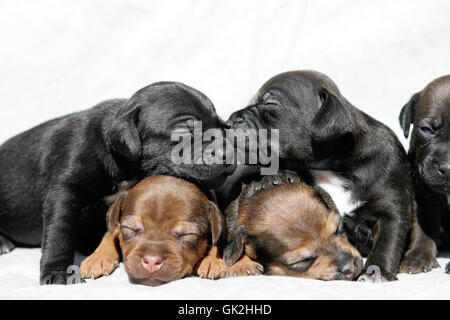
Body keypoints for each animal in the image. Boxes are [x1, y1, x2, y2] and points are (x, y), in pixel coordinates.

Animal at [80, 176, 225, 286]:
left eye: (187, 234)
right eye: (131, 229)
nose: (151, 262)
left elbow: (217, 240)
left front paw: (212, 261)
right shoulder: (117, 226)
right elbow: (110, 234)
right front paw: (97, 259)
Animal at [225, 71, 414, 282]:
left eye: (270, 103)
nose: (228, 122)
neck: (329, 166)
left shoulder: (391, 209)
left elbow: (387, 241)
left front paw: (377, 272)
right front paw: (276, 176)